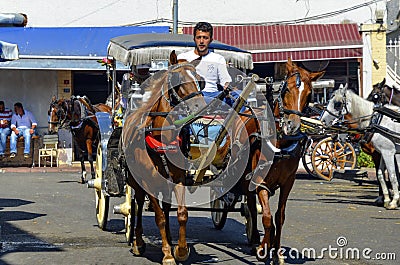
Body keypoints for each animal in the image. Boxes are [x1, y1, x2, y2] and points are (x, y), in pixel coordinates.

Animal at [120, 60, 205, 264]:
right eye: (177, 80)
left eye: (200, 80)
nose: (201, 106)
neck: (160, 136)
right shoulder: (147, 182)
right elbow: (159, 217)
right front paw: (167, 254)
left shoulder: (178, 178)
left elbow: (181, 213)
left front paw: (180, 249)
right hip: (137, 183)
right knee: (138, 205)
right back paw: (138, 242)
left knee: (166, 206)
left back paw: (169, 238)